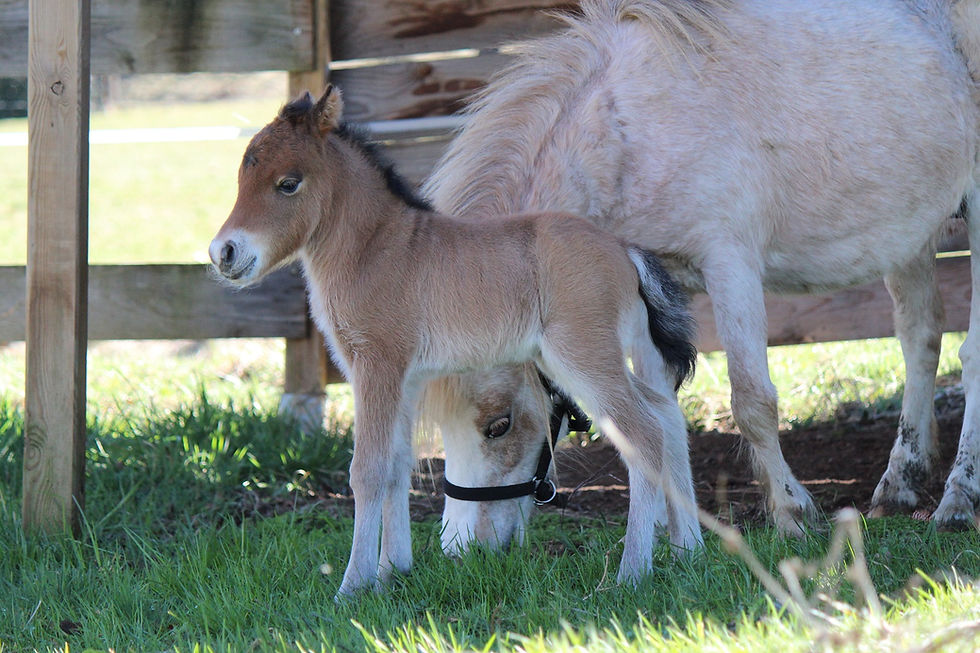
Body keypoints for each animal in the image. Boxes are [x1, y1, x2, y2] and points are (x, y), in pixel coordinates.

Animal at [209, 86, 703, 595]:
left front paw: (352, 586)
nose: (223, 253)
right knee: (667, 414)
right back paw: (688, 551)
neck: (377, 250)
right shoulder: (406, 378)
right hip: (588, 360)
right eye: (242, 176)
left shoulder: (376, 365)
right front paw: (391, 574)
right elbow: (396, 466)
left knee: (644, 433)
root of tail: (624, 250)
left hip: (583, 357)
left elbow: (367, 470)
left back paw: (631, 573)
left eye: (288, 183)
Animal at [421, 0, 980, 553]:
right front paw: (679, 538)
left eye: (499, 425)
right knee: (920, 338)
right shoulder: (651, 294)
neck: (627, 132)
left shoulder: (730, 266)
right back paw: (900, 484)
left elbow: (752, 402)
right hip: (909, 230)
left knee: (968, 356)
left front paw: (793, 514)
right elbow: (662, 411)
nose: (461, 549)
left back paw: (957, 502)